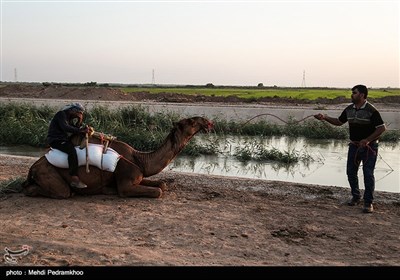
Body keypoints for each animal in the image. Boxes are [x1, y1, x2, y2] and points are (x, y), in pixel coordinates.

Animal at [22, 116, 212, 199]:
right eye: (192, 122)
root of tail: (33, 167)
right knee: (60, 191)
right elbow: (157, 191)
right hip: (50, 175)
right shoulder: (125, 183)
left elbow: (162, 185)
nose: (208, 122)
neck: (139, 159)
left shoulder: (138, 176)